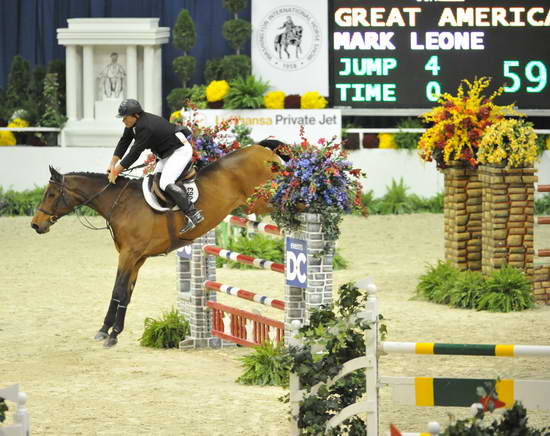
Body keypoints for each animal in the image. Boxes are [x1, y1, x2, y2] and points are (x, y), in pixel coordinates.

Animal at [30, 143, 280, 348]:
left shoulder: (129, 255)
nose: (36, 225)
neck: (120, 204)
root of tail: (261, 149)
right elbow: (125, 292)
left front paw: (107, 332)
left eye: (51, 194)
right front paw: (113, 331)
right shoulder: (137, 258)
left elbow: (118, 290)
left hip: (263, 199)